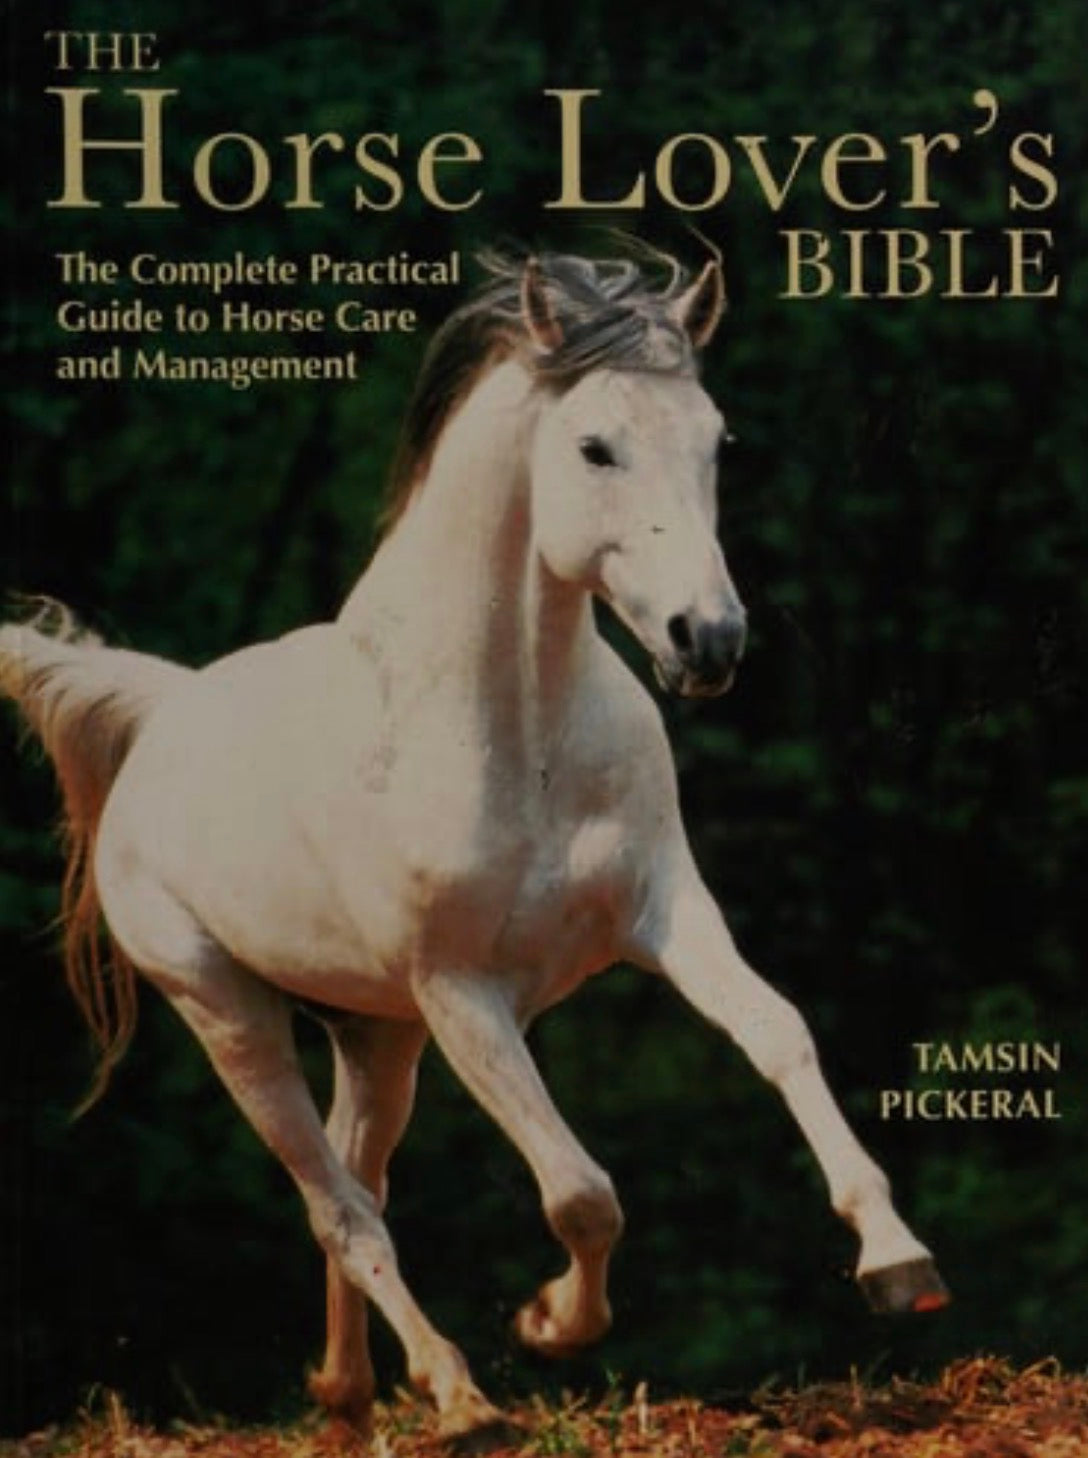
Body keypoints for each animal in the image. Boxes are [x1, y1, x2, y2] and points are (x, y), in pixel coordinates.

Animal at [0, 251, 947, 1446]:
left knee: (358, 1185)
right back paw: (456, 1396)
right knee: (340, 1207)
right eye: (593, 447)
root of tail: (163, 716)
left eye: (716, 439)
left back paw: (350, 1390)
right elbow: (582, 1192)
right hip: (232, 1016)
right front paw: (548, 1324)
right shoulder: (463, 994)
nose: (710, 642)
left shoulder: (667, 914)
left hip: (375, 1036)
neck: (517, 727)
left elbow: (779, 1036)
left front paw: (895, 1261)